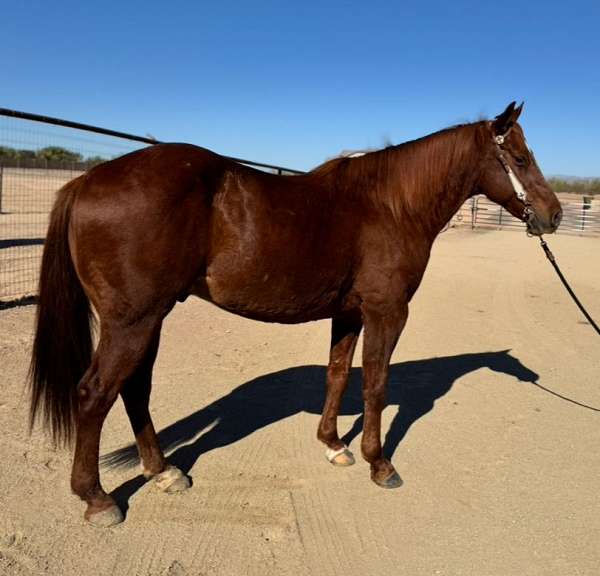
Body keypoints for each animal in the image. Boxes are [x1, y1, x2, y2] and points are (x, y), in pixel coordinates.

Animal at [28, 101, 564, 524]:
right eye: (520, 157)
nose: (554, 214)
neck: (390, 205)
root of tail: (86, 180)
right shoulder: (387, 312)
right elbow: (376, 384)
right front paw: (379, 464)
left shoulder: (349, 314)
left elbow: (337, 374)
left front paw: (334, 444)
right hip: (132, 322)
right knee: (94, 394)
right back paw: (98, 499)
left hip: (150, 318)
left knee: (135, 389)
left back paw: (163, 472)